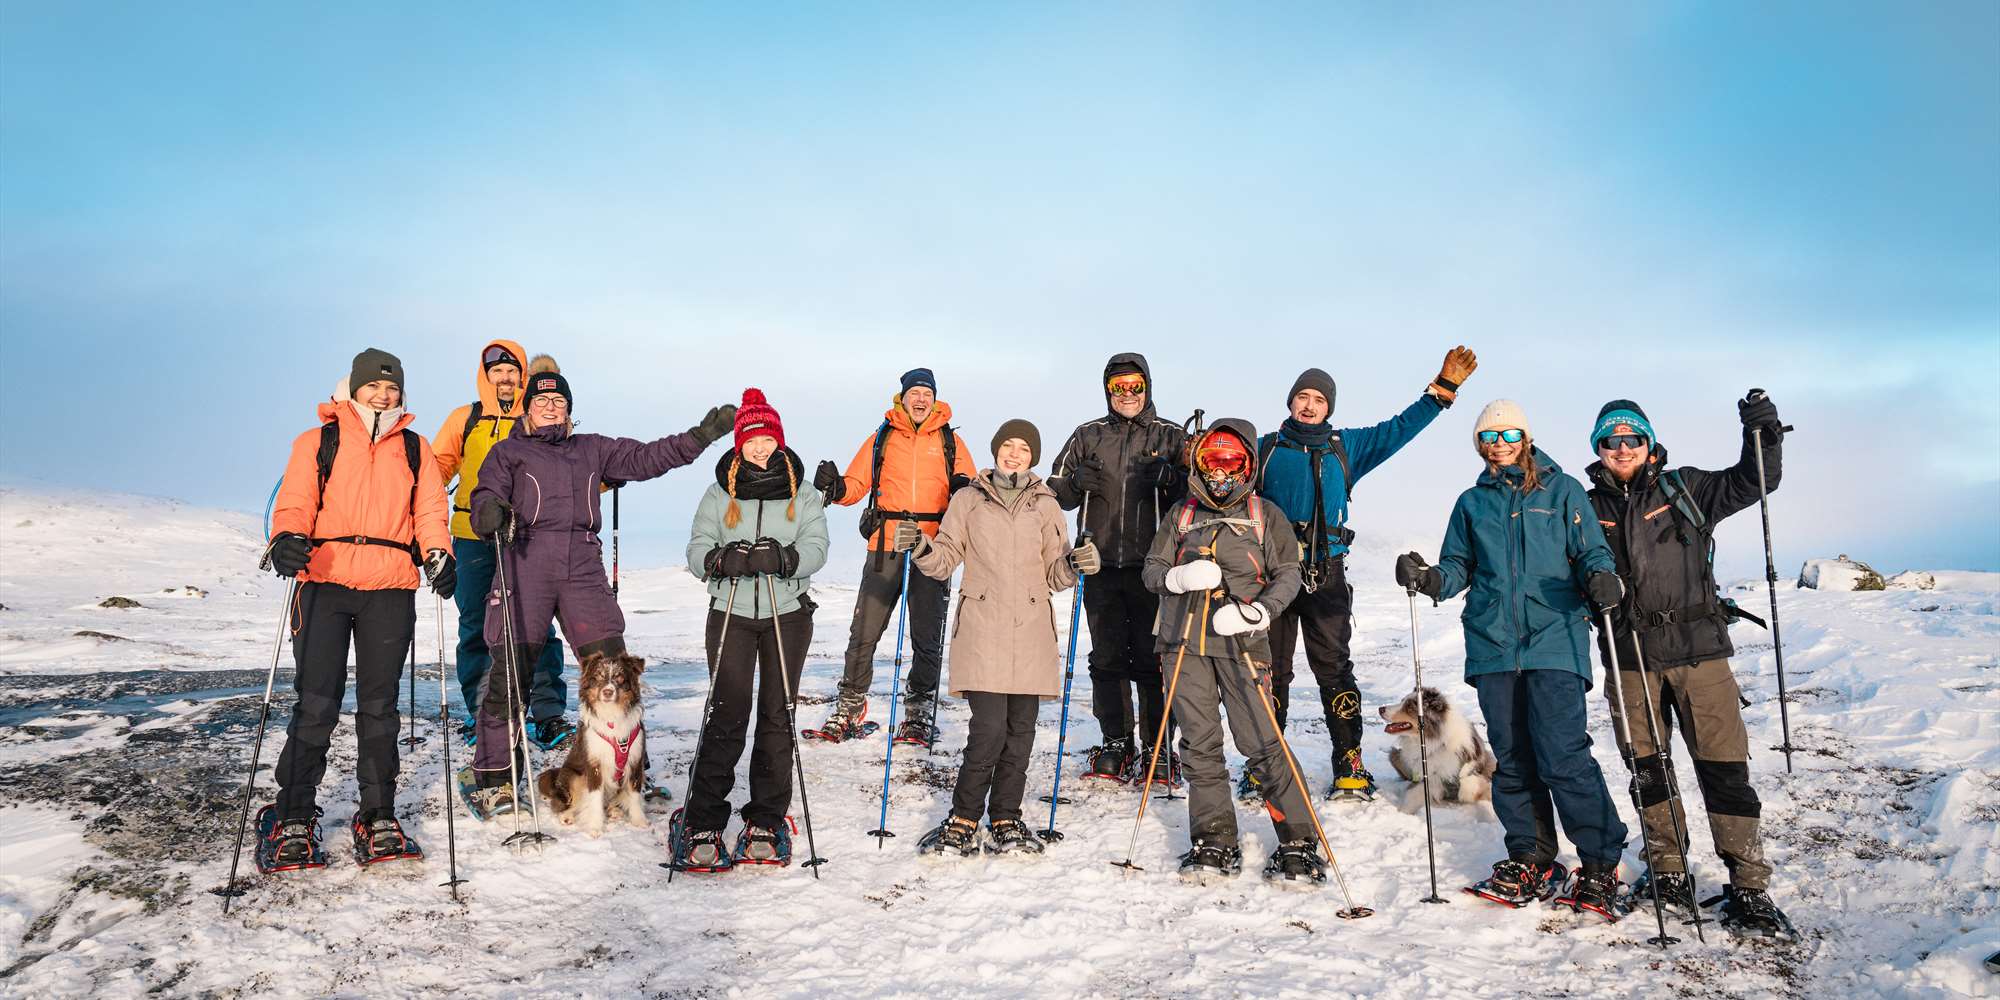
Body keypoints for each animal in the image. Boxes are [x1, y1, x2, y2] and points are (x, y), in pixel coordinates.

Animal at [537, 651, 649, 837]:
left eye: (619, 677)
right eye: (598, 676)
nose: (608, 692)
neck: (612, 716)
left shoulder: (635, 761)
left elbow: (634, 794)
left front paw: (639, 821)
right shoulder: (594, 764)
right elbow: (595, 798)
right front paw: (595, 827)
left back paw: (613, 810)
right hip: (574, 776)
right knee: (568, 804)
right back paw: (567, 816)